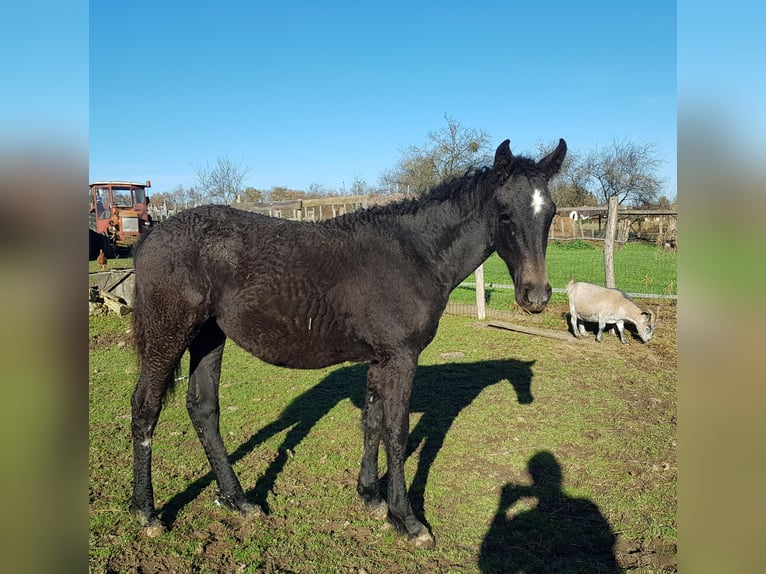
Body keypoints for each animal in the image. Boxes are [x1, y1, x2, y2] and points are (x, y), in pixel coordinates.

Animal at [129, 138, 566, 548]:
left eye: (550, 212)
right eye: (504, 213)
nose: (536, 296)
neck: (415, 255)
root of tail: (151, 236)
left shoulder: (380, 359)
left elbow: (372, 422)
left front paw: (370, 497)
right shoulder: (401, 357)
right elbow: (396, 432)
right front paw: (407, 520)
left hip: (209, 336)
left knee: (203, 408)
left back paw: (239, 500)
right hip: (169, 333)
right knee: (145, 408)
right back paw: (147, 514)